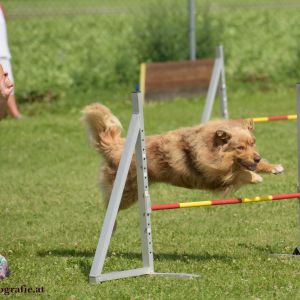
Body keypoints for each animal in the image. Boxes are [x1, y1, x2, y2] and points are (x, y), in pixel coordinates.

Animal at [82, 103, 284, 211]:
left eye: (253, 143)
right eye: (240, 147)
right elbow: (240, 173)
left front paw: (273, 167)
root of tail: (115, 146)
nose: (257, 158)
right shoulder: (216, 174)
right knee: (109, 203)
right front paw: (255, 177)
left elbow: (248, 167)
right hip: (127, 192)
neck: (212, 147)